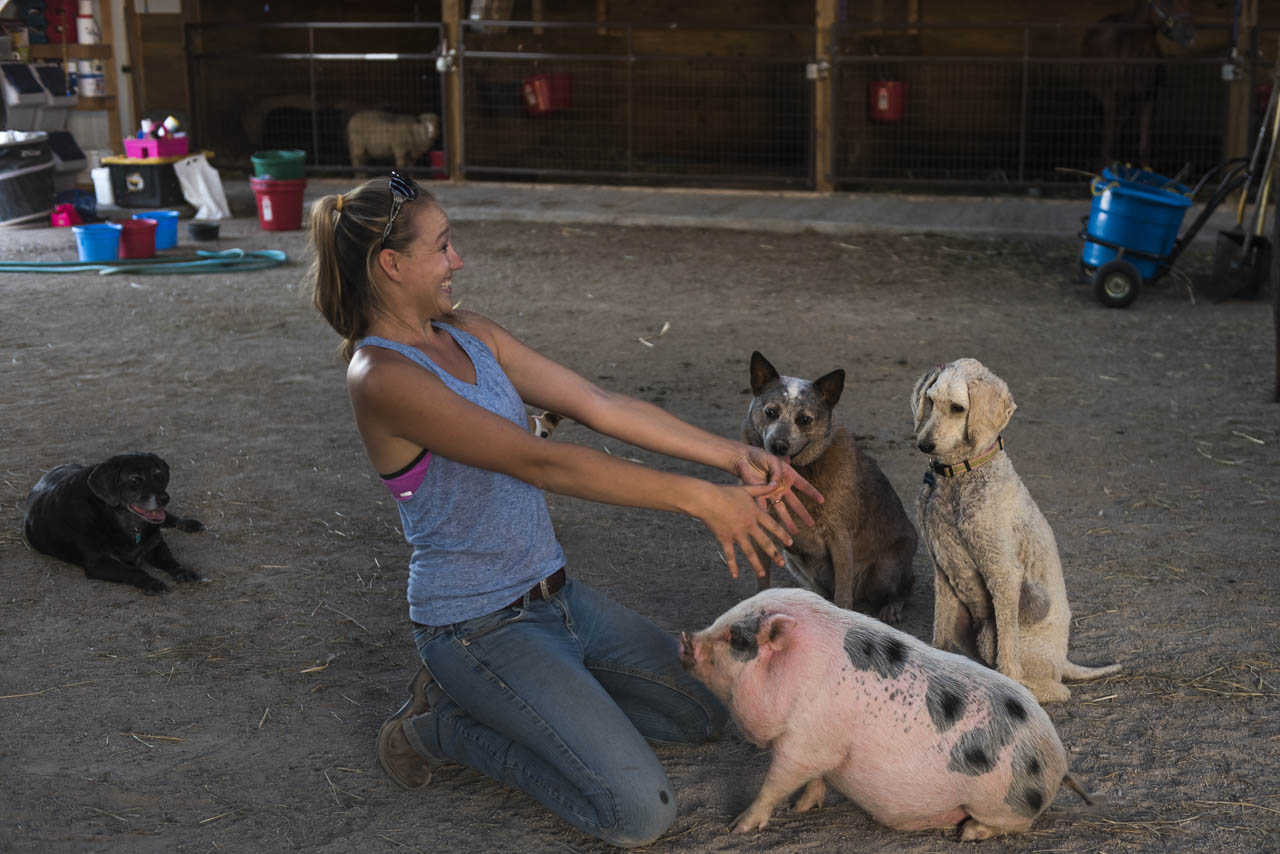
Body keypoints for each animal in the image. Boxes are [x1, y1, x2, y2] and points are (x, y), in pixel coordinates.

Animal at [24, 450, 207, 599]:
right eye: (134, 480)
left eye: (158, 475)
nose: (164, 498)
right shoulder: (98, 563)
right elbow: (133, 570)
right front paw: (152, 582)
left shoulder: (156, 544)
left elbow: (170, 560)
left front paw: (184, 571)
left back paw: (190, 524)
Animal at [680, 591, 1100, 839]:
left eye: (737, 640)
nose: (685, 639)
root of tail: (1058, 763)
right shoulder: (820, 749)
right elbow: (816, 779)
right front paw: (802, 806)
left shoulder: (806, 741)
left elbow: (775, 782)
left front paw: (737, 827)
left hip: (1004, 803)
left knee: (1017, 823)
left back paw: (968, 833)